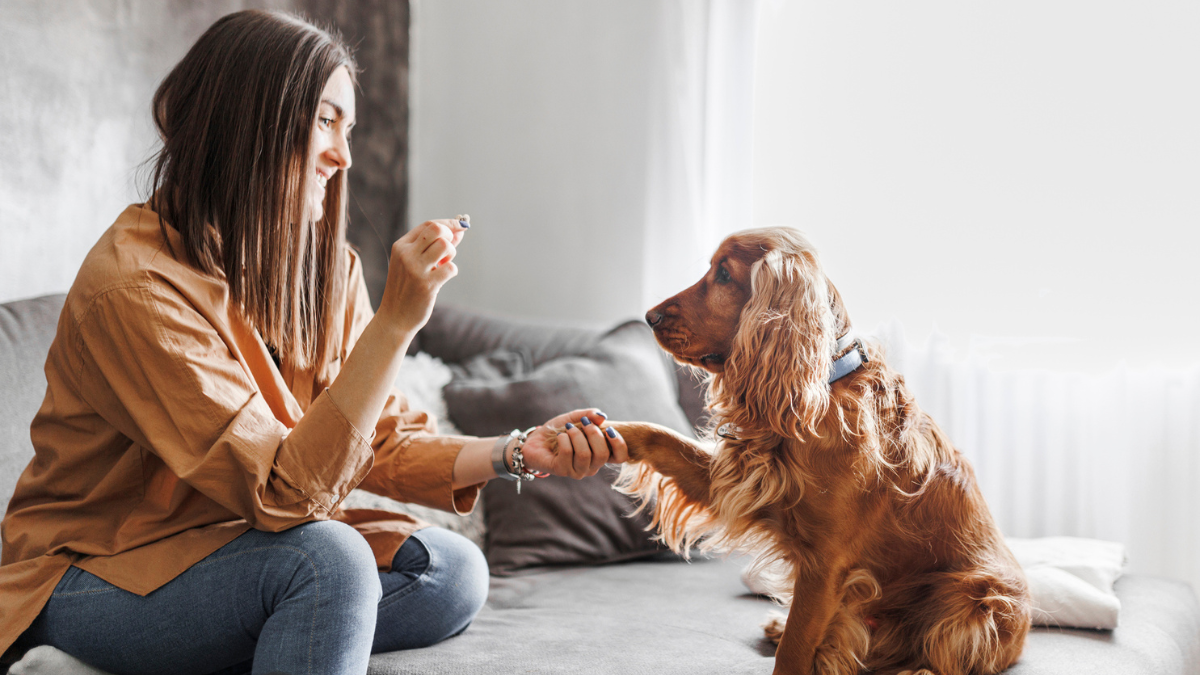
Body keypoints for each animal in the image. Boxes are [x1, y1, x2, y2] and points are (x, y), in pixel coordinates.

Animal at [609, 227, 1032, 672]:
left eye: (724, 275)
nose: (649, 317)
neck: (820, 387)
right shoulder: (745, 485)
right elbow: (659, 436)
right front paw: (604, 432)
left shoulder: (826, 565)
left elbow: (795, 651)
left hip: (974, 599)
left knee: (947, 654)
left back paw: (916, 669)